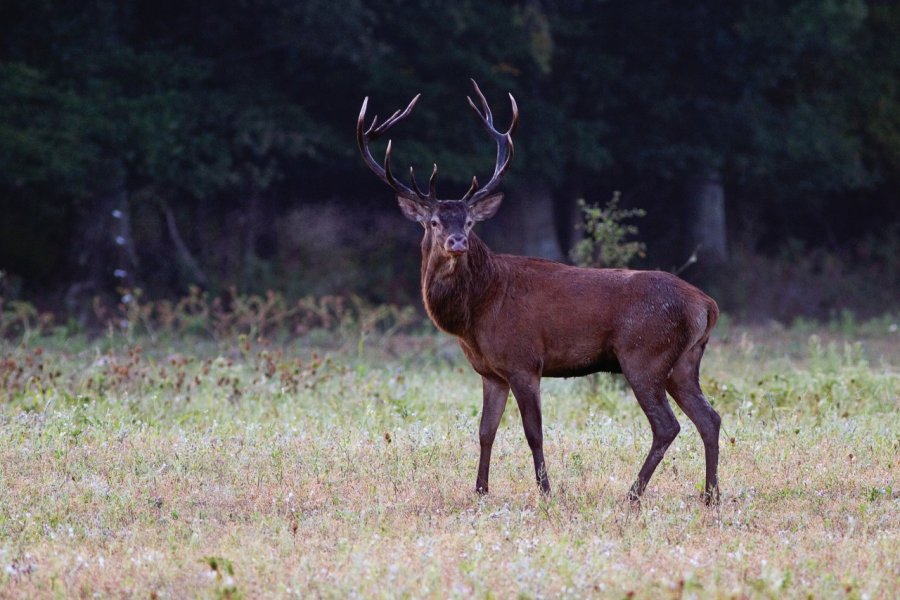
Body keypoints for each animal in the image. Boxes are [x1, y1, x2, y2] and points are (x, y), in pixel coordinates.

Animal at [356, 78, 720, 502]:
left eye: (469, 221)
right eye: (433, 221)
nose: (457, 242)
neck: (477, 312)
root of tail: (706, 304)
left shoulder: (524, 361)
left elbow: (533, 433)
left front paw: (546, 491)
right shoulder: (491, 372)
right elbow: (485, 431)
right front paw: (480, 490)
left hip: (644, 354)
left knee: (667, 425)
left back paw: (633, 494)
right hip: (685, 361)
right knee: (710, 418)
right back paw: (710, 495)